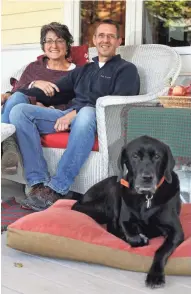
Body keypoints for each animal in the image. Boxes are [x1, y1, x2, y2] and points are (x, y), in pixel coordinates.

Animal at [71, 137, 184, 288]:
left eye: (157, 156)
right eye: (135, 156)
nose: (147, 177)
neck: (146, 198)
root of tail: (82, 197)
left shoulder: (176, 231)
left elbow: (161, 250)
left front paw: (155, 276)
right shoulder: (124, 220)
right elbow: (130, 234)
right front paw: (138, 238)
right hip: (115, 188)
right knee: (111, 226)